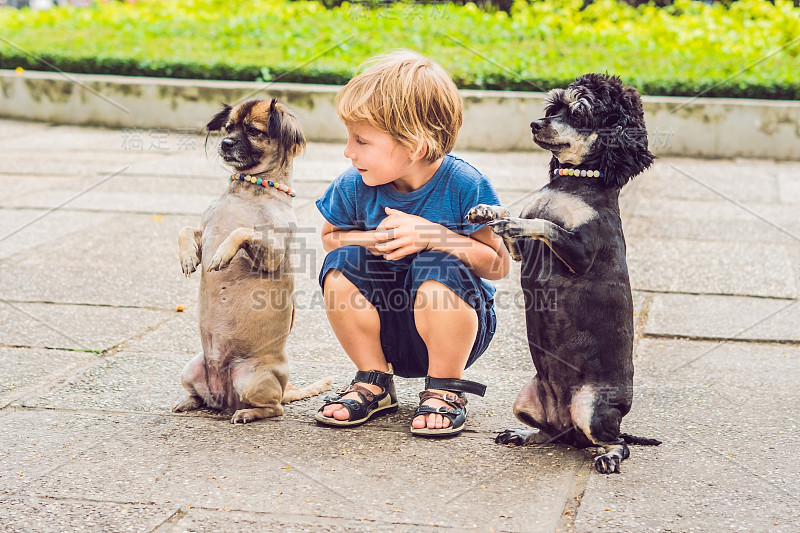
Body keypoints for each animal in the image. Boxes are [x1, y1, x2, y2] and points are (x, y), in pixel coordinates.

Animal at [173, 98, 332, 424]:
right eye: (228, 128)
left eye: (254, 131)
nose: (225, 144)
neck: (248, 190)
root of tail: (223, 397)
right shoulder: (203, 232)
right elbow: (185, 230)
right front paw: (187, 258)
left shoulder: (272, 254)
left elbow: (241, 231)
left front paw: (223, 254)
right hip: (190, 369)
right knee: (200, 397)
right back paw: (188, 401)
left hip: (251, 378)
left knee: (275, 408)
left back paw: (247, 413)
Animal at [466, 72, 660, 472]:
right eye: (554, 108)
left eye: (580, 113)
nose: (535, 124)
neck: (571, 183)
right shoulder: (521, 253)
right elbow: (513, 218)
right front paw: (488, 211)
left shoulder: (581, 252)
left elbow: (546, 224)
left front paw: (516, 221)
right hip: (527, 399)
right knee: (551, 434)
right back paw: (523, 434)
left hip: (590, 407)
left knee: (618, 443)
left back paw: (610, 456)